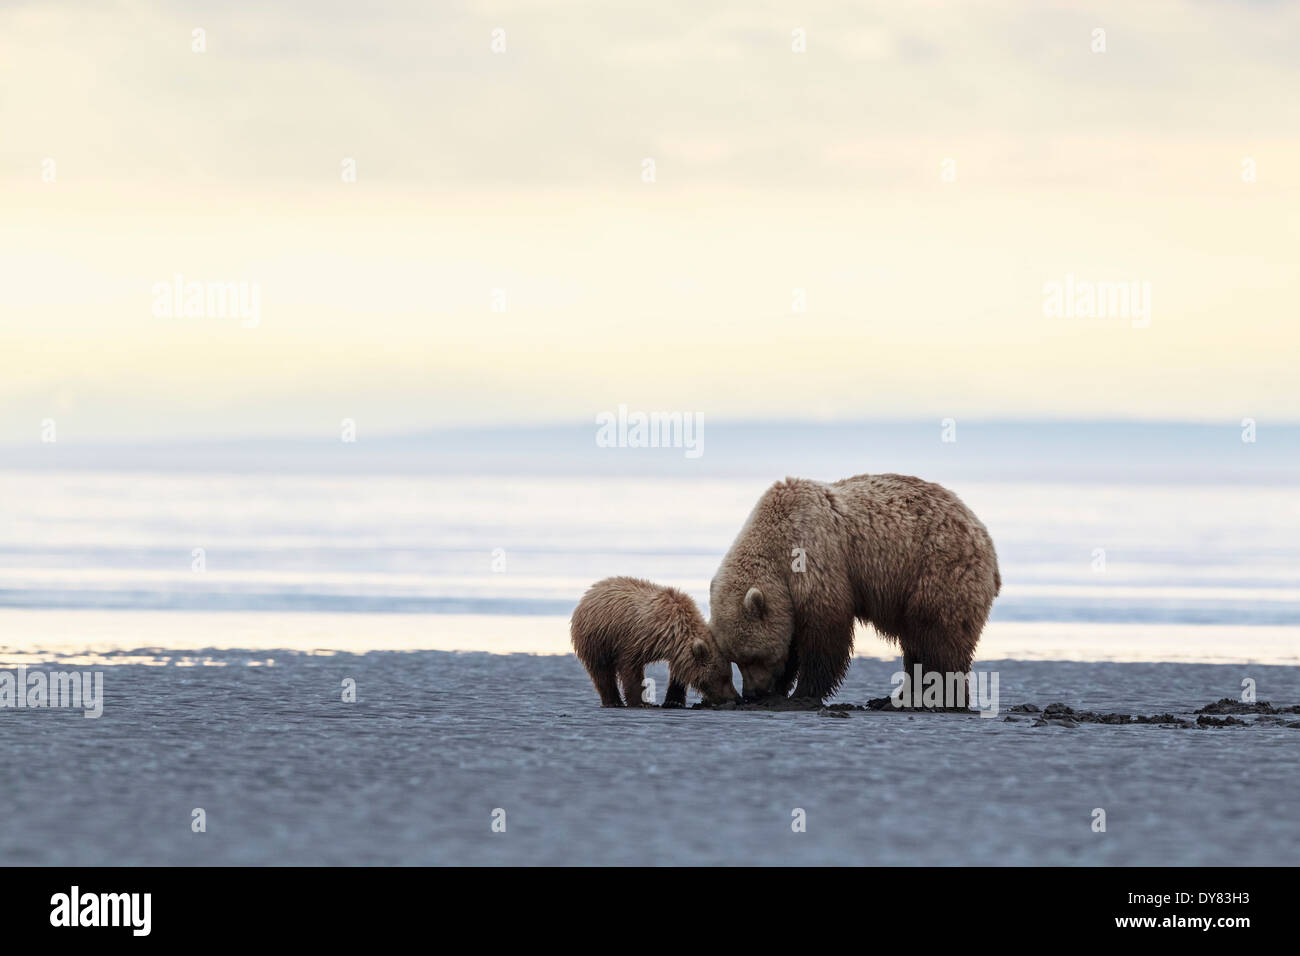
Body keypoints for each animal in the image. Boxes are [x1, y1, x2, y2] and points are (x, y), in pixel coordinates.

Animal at [570, 576, 740, 707]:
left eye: (729, 675)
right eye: (723, 678)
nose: (736, 698)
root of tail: (591, 591)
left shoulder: (675, 650)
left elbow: (679, 671)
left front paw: (674, 701)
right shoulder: (634, 639)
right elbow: (630, 669)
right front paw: (641, 702)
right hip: (596, 637)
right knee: (601, 671)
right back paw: (613, 701)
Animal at [708, 473, 1000, 706]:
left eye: (752, 657)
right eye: (734, 658)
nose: (751, 693)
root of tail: (983, 535)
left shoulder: (813, 554)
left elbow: (825, 629)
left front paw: (801, 695)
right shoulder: (789, 595)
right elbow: (793, 638)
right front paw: (779, 691)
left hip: (937, 570)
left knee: (937, 635)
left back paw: (934, 699)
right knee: (916, 642)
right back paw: (896, 698)